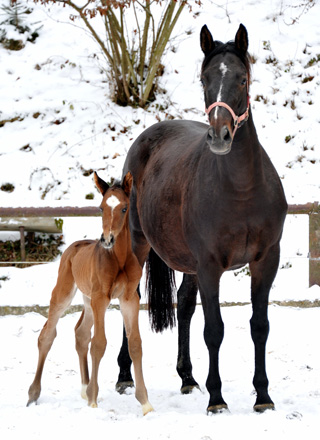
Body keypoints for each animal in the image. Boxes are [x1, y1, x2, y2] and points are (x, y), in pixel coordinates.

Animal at [26, 172, 153, 416]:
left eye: (124, 208)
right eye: (101, 207)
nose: (107, 239)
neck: (118, 259)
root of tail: (73, 246)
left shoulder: (129, 299)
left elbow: (135, 344)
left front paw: (145, 403)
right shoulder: (101, 298)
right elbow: (99, 343)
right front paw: (94, 401)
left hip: (88, 300)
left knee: (81, 333)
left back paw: (84, 389)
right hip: (65, 293)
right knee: (47, 335)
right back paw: (33, 394)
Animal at [115, 23, 288, 416]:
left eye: (242, 79)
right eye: (205, 79)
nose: (220, 135)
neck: (241, 189)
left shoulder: (265, 260)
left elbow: (260, 326)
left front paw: (263, 396)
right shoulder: (210, 265)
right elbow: (215, 330)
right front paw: (217, 398)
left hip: (188, 262)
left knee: (184, 303)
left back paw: (187, 377)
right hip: (139, 244)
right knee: (130, 297)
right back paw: (124, 375)